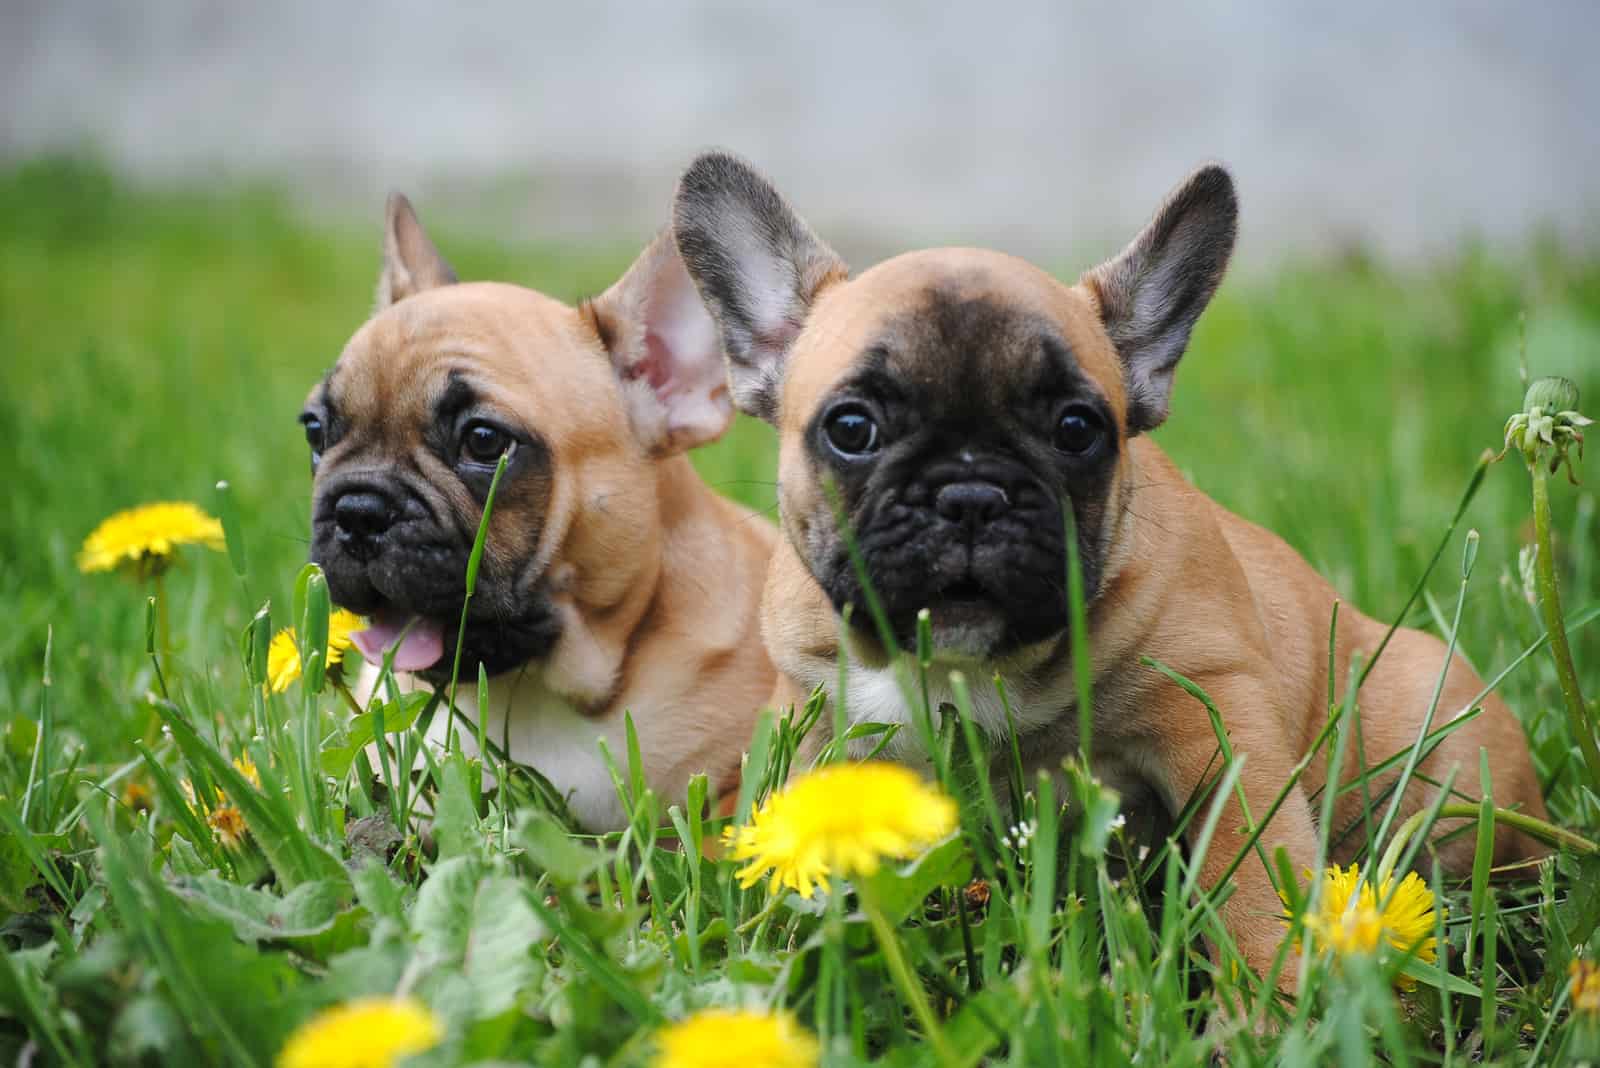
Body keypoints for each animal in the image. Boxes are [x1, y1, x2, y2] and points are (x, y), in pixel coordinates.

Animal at [672, 150, 1548, 984]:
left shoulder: (1216, 718)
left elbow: (1251, 868)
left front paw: (1276, 995)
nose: (971, 495)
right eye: (851, 428)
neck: (964, 667)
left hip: (1446, 772)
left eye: (1076, 429)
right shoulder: (816, 718)